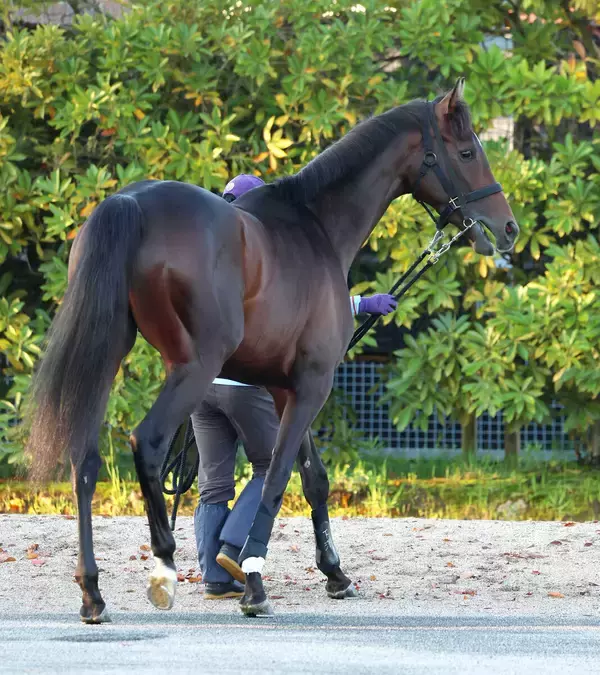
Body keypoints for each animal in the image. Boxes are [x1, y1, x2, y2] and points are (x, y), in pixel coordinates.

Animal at [26, 78, 519, 622]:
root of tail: (131, 204)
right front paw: (255, 581)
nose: (508, 228)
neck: (314, 226)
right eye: (468, 151)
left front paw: (334, 573)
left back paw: (92, 592)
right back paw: (164, 570)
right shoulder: (313, 384)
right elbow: (279, 475)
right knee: (148, 444)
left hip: (109, 354)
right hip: (193, 368)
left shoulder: (287, 389)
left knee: (85, 459)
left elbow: (313, 477)